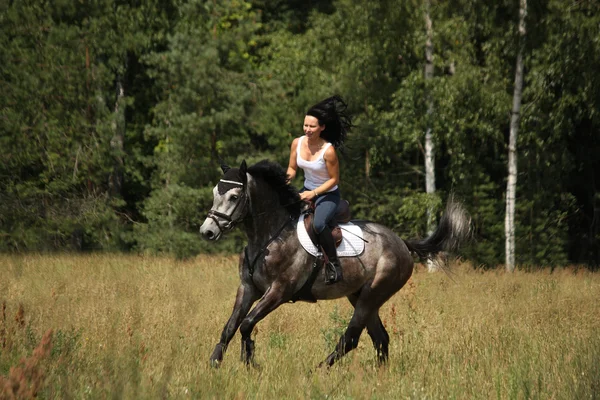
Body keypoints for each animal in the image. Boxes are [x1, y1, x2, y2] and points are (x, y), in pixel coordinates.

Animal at [199, 159, 472, 368]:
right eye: (214, 193)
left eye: (234, 196)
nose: (207, 231)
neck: (268, 237)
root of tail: (401, 243)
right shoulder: (248, 288)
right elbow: (231, 326)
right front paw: (214, 363)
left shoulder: (279, 291)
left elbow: (246, 324)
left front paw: (250, 361)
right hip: (360, 296)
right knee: (380, 338)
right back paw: (379, 376)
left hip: (372, 294)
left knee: (351, 338)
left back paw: (318, 370)